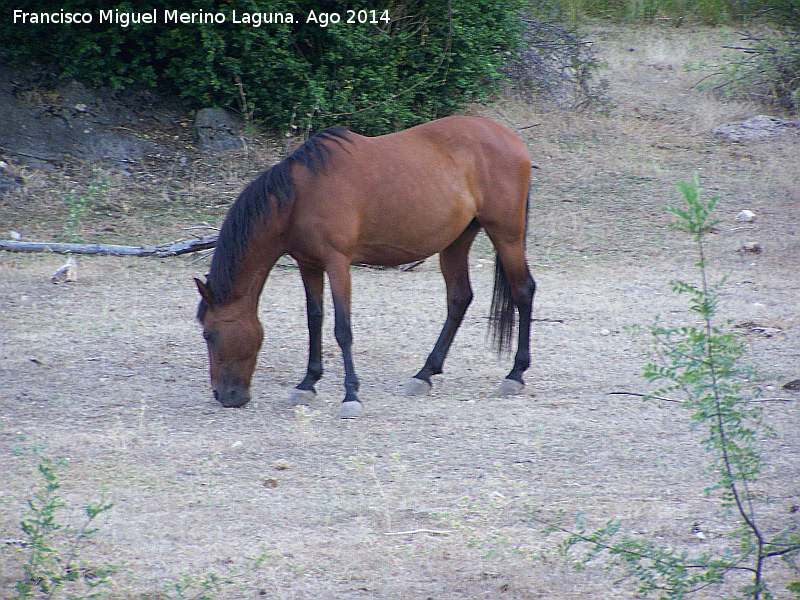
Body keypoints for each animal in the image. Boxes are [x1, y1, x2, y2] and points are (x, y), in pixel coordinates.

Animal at [195, 116, 536, 418]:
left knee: (523, 291)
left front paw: (351, 396)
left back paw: (515, 374)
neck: (300, 195)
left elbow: (342, 329)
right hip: (456, 242)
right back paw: (424, 374)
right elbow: (314, 320)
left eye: (209, 334)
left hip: (506, 234)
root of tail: (512, 139)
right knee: (459, 298)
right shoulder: (308, 264)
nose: (223, 396)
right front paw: (307, 384)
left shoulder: (337, 263)